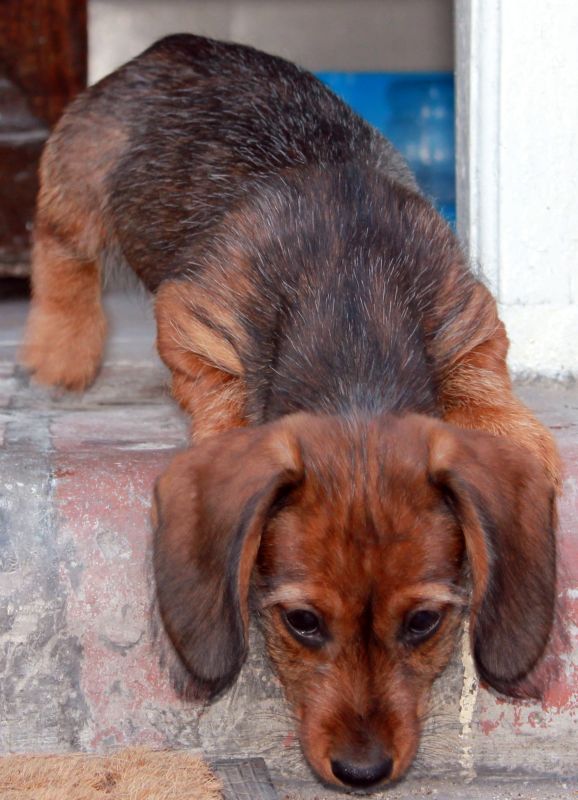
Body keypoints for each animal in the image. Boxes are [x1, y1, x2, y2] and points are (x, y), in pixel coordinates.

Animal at [22, 34, 560, 792]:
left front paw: (515, 436)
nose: (362, 772)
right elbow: (221, 395)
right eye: (302, 622)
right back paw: (60, 349)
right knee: (59, 252)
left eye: (423, 623)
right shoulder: (196, 327)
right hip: (78, 182)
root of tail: (175, 44)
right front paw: (229, 437)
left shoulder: (470, 317)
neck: (353, 313)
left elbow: (481, 380)